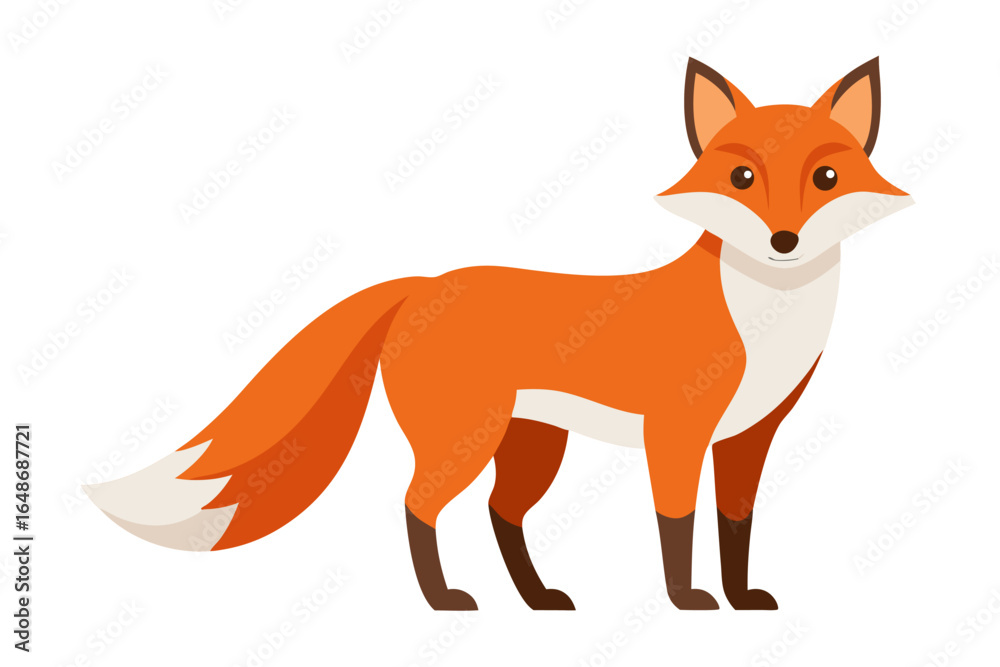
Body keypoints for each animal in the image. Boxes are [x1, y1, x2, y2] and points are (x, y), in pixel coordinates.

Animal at [86, 57, 912, 611]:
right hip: (468, 435)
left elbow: (735, 525)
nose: (783, 240)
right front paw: (687, 602)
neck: (766, 317)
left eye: (826, 179)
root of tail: (424, 284)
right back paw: (443, 599)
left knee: (501, 512)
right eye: (741, 179)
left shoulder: (750, 435)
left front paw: (740, 599)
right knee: (418, 504)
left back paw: (536, 597)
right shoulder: (675, 431)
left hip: (532, 443)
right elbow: (676, 524)